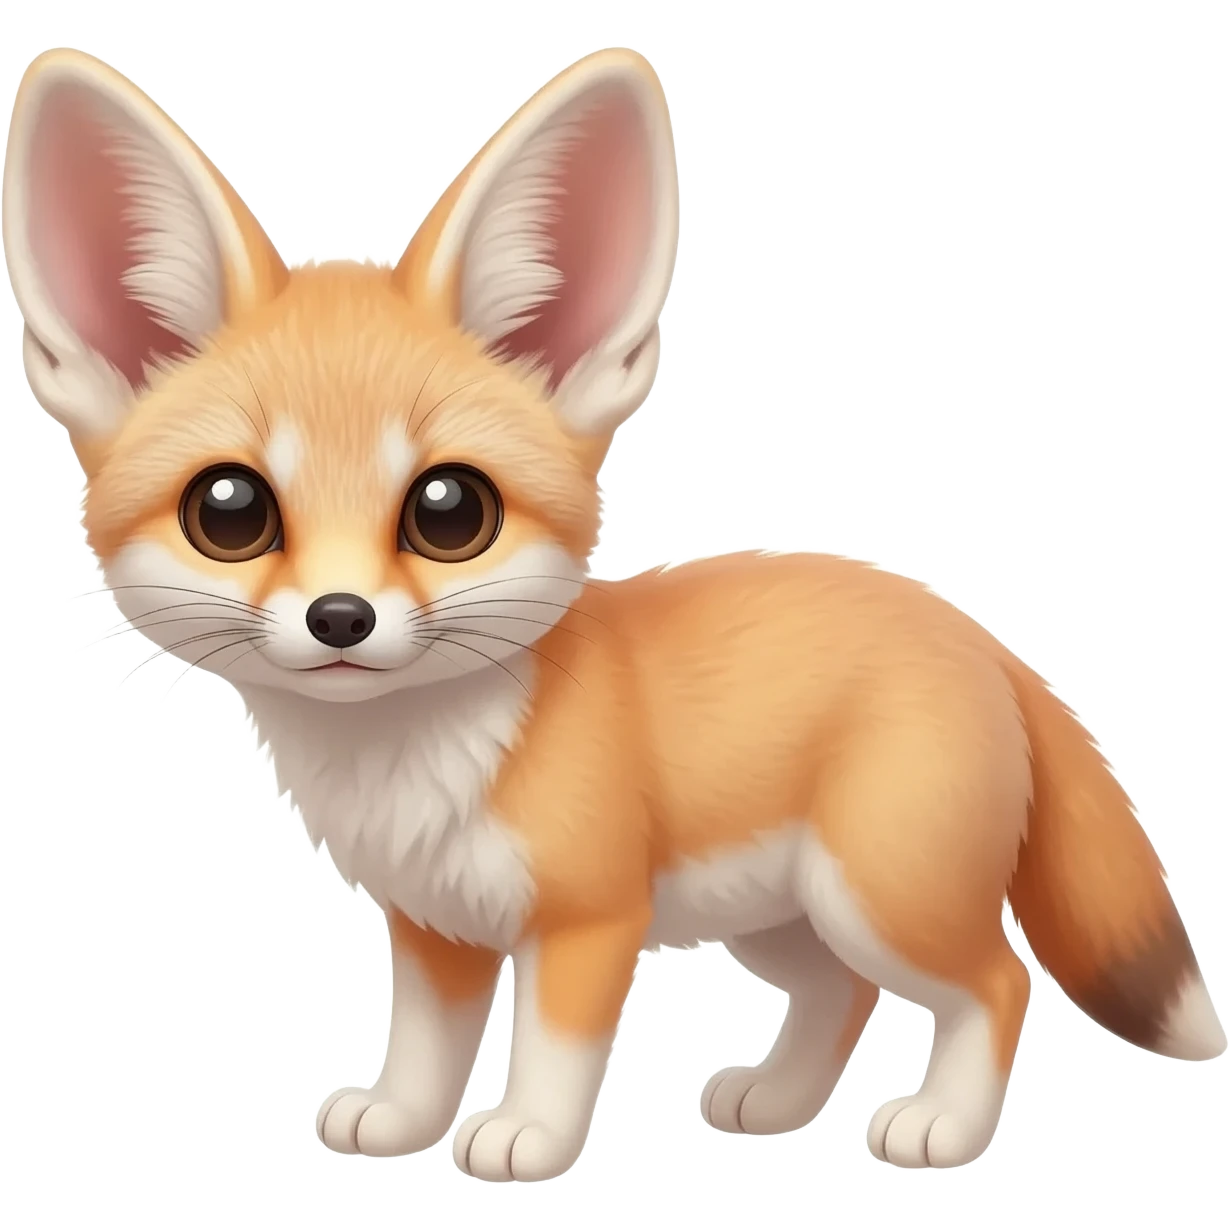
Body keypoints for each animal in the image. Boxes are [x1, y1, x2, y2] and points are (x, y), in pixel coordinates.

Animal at [4, 43, 1224, 1181]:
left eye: (450, 510)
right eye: (231, 510)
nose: (340, 618)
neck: (415, 766)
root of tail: (973, 634)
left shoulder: (590, 920)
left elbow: (550, 1051)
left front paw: (527, 1139)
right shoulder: (435, 924)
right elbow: (426, 1048)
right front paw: (399, 1122)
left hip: (880, 894)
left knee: (997, 981)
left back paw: (943, 1127)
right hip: (778, 920)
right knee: (844, 993)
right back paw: (776, 1102)